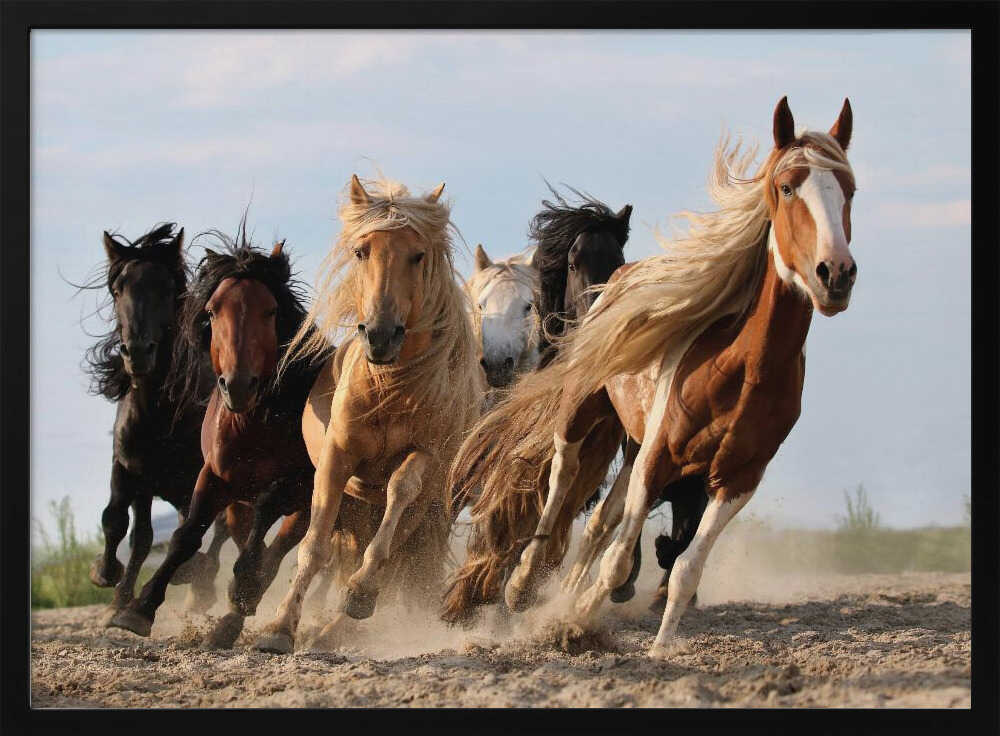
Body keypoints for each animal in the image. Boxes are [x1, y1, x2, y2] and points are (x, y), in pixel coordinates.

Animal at [81, 223, 224, 624]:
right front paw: (110, 582)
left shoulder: (196, 478)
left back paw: (199, 586)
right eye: (118, 290)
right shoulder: (130, 469)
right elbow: (119, 522)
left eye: (166, 288)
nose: (138, 352)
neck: (158, 416)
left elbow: (191, 528)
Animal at [108, 229, 326, 645]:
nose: (237, 385)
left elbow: (262, 532)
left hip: (306, 503)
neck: (254, 422)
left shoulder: (292, 485)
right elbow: (186, 535)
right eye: (211, 312)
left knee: (276, 551)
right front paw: (137, 609)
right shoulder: (212, 476)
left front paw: (239, 593)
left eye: (270, 311)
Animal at [252, 175, 483, 654]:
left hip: (425, 511)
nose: (380, 335)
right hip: (358, 509)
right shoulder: (337, 459)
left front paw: (360, 593)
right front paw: (279, 628)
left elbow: (398, 496)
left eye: (418, 255)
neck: (390, 388)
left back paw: (338, 625)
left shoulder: (425, 456)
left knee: (395, 558)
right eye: (362, 251)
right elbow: (314, 547)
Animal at [442, 97, 858, 660]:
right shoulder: (657, 455)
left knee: (601, 521)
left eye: (849, 189)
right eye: (787, 186)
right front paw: (570, 619)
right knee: (560, 478)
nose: (834, 274)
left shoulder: (737, 479)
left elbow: (683, 567)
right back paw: (524, 581)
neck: (742, 368)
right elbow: (615, 555)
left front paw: (655, 647)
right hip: (584, 411)